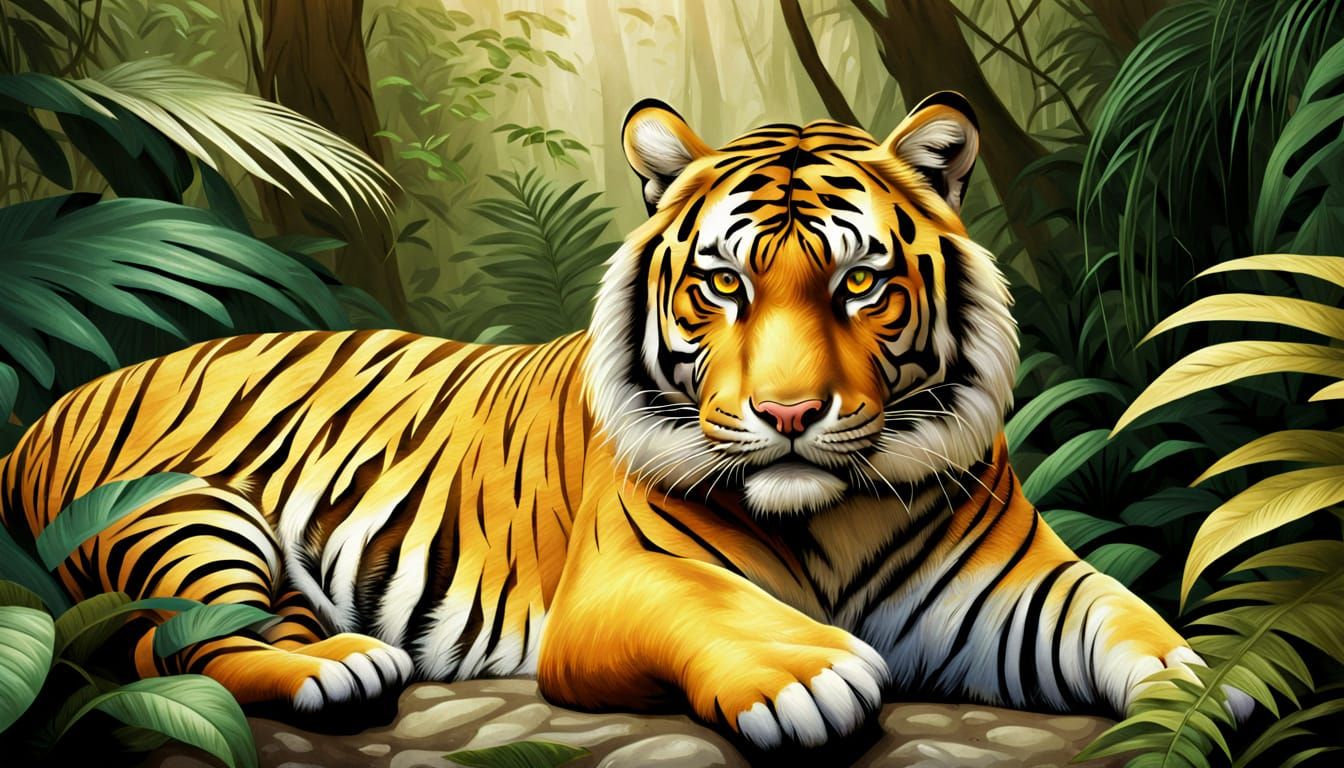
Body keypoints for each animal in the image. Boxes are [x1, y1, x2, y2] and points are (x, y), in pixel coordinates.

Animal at [0, 92, 1249, 751]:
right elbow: (720, 608)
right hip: (184, 514)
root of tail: (51, 403)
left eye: (858, 284)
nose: (788, 413)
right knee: (181, 642)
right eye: (723, 285)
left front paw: (1209, 685)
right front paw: (805, 673)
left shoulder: (1019, 587)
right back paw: (342, 669)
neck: (830, 517)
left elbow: (1128, 620)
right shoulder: (619, 584)